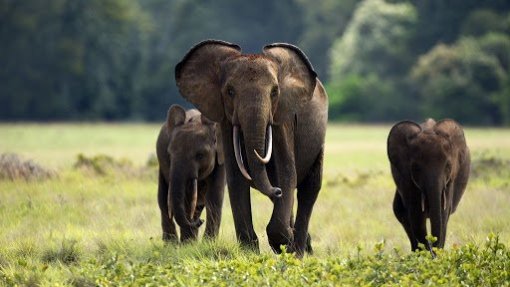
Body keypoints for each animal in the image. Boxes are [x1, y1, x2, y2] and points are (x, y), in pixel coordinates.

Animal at [156, 104, 226, 242]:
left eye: (200, 155)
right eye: (169, 155)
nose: (200, 221)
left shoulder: (222, 158)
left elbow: (214, 196)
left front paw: (208, 242)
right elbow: (186, 199)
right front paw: (188, 243)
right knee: (163, 199)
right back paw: (171, 244)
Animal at [174, 39, 326, 258]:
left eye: (274, 92)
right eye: (230, 91)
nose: (277, 191)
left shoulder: (283, 117)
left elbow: (287, 171)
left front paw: (281, 243)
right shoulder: (226, 120)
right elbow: (236, 178)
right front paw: (250, 252)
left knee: (310, 188)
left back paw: (297, 251)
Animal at [388, 118, 472, 253]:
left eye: (448, 166)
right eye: (416, 168)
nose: (433, 252)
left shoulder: (450, 181)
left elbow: (444, 213)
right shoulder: (407, 180)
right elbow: (416, 214)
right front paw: (426, 254)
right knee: (401, 214)